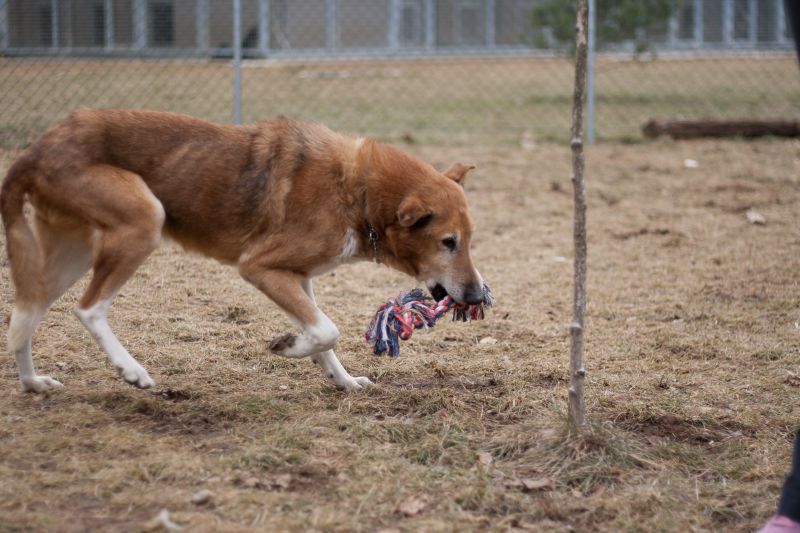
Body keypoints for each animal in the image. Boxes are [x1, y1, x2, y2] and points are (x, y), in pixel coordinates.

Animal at [3, 109, 484, 390]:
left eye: (470, 239)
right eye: (448, 243)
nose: (478, 296)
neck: (359, 190)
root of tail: (36, 148)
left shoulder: (297, 278)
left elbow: (322, 337)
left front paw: (343, 381)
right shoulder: (260, 268)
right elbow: (326, 330)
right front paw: (287, 346)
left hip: (72, 254)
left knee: (24, 315)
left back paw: (33, 383)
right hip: (143, 221)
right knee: (88, 309)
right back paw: (131, 370)